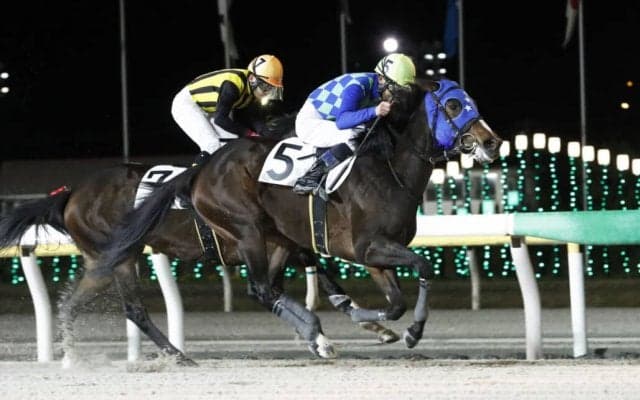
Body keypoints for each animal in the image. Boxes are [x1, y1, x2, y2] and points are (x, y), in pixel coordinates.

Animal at [98, 78, 503, 358]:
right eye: (453, 104)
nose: (492, 141)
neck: (390, 169)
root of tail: (201, 170)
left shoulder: (375, 256)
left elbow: (396, 303)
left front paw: (377, 323)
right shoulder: (369, 247)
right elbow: (422, 267)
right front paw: (411, 331)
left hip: (278, 238)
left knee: (267, 288)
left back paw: (318, 335)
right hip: (247, 229)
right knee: (262, 288)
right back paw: (316, 336)